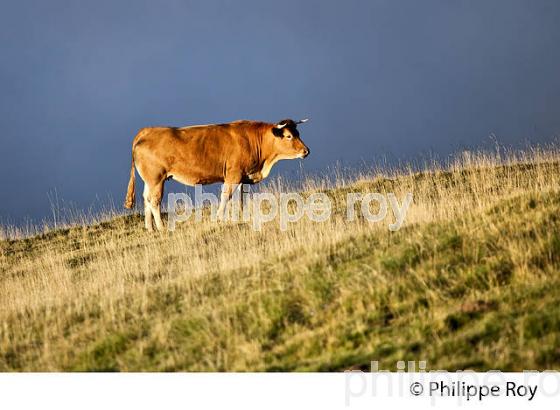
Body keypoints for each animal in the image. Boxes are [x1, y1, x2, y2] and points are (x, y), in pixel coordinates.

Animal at [122, 117, 310, 231]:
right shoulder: (233, 175)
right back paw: (161, 227)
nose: (306, 151)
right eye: (288, 136)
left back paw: (150, 227)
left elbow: (239, 198)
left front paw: (239, 215)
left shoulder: (242, 176)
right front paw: (219, 217)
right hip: (157, 179)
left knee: (146, 198)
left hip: (150, 181)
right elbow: (226, 196)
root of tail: (146, 131)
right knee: (154, 201)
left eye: (298, 133)